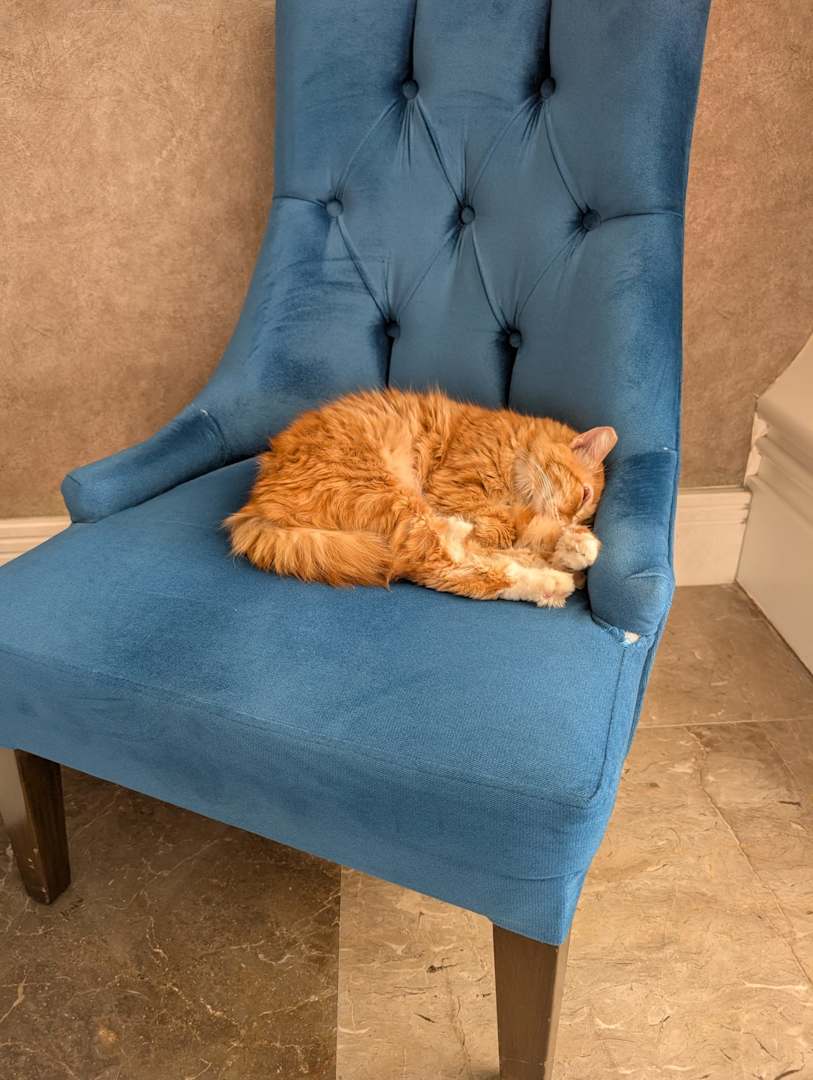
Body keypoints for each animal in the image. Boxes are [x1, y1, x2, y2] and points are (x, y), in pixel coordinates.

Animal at [225, 388, 617, 608]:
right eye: (584, 495)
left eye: (585, 515)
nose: (572, 522)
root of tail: (254, 509)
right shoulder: (456, 488)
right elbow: (508, 527)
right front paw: (566, 540)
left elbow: (524, 532)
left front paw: (569, 541)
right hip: (394, 496)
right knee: (446, 563)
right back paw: (554, 582)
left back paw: (564, 569)